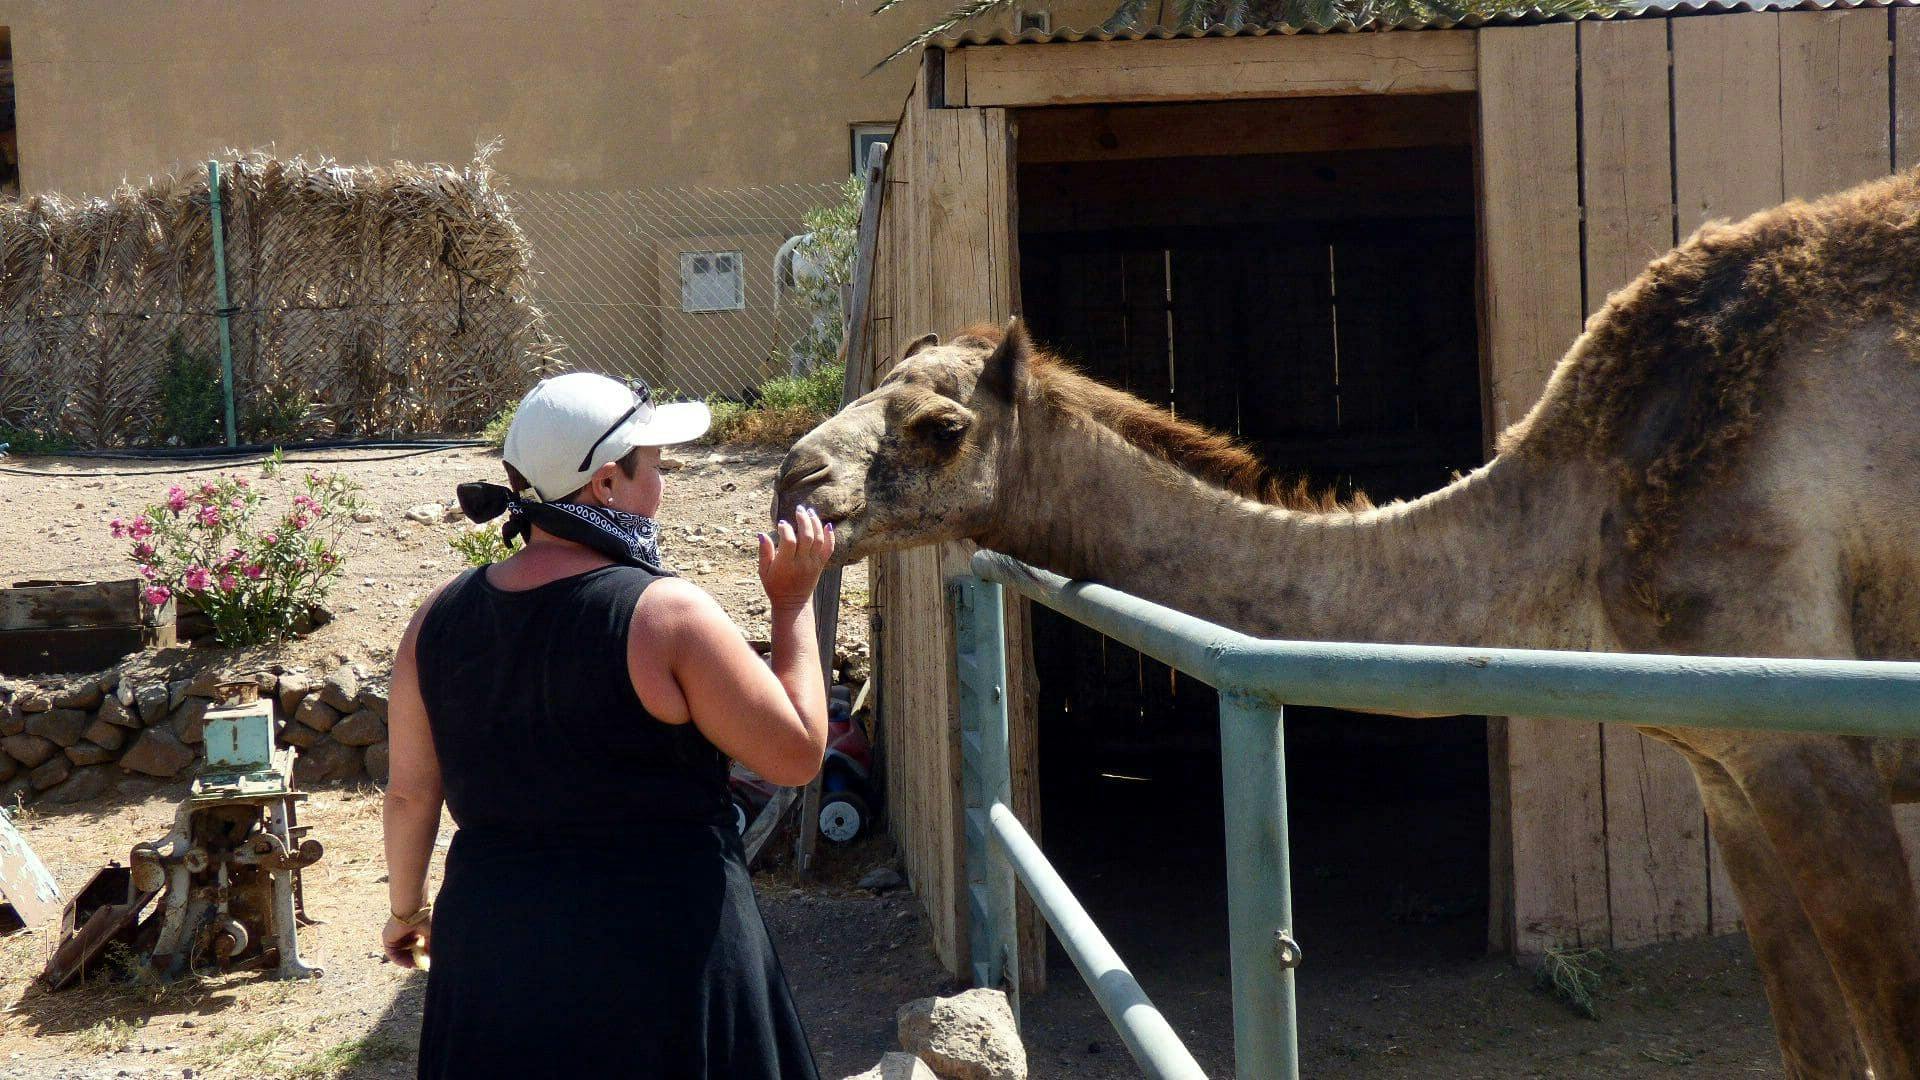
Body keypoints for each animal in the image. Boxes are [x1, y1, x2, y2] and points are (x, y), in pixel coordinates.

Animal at [775, 171, 1920, 1068]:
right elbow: (1812, 1045)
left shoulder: (1815, 747)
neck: (1591, 506)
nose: (794, 473)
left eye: (941, 424)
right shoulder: (1728, 762)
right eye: (877, 387)